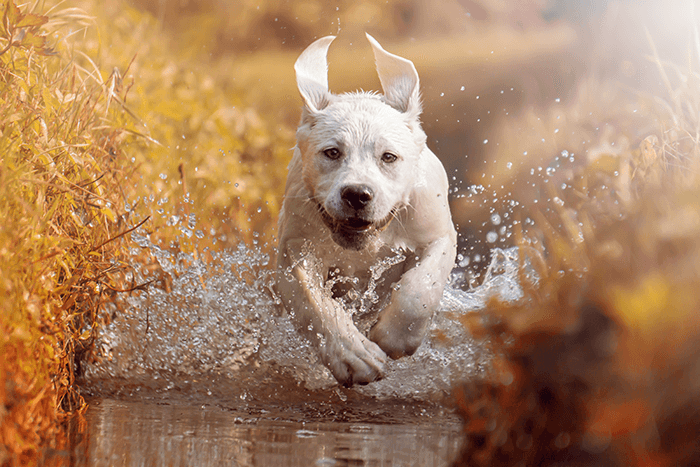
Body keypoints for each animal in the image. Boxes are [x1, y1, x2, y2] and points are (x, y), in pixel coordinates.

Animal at [276, 33, 456, 388]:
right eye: (332, 152)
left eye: (389, 157)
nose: (357, 195)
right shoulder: (295, 250)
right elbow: (315, 303)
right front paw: (353, 356)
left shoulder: (438, 235)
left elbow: (420, 289)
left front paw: (393, 337)